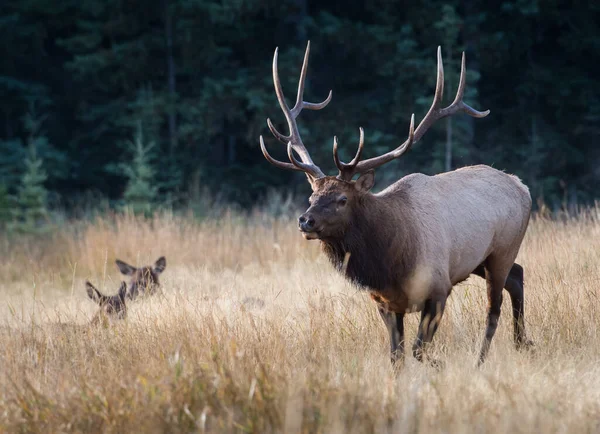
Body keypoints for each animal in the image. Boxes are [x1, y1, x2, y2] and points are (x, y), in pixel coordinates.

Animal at [260, 41, 532, 366]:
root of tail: (522, 186)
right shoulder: (384, 302)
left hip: (503, 248)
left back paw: (481, 360)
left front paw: (439, 362)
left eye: (342, 199)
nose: (305, 220)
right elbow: (397, 355)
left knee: (494, 305)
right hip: (480, 259)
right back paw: (523, 343)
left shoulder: (438, 289)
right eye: (311, 197)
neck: (390, 263)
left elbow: (417, 350)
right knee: (517, 275)